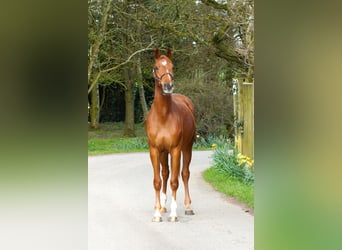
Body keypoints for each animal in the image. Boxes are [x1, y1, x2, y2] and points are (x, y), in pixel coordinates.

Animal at [146, 48, 196, 223]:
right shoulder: (154, 150)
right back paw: (162, 206)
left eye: (172, 66)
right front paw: (157, 214)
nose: (168, 86)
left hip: (187, 149)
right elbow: (157, 181)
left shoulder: (175, 150)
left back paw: (188, 207)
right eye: (156, 67)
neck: (163, 116)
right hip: (163, 153)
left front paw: (174, 214)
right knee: (165, 174)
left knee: (185, 174)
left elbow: (175, 181)